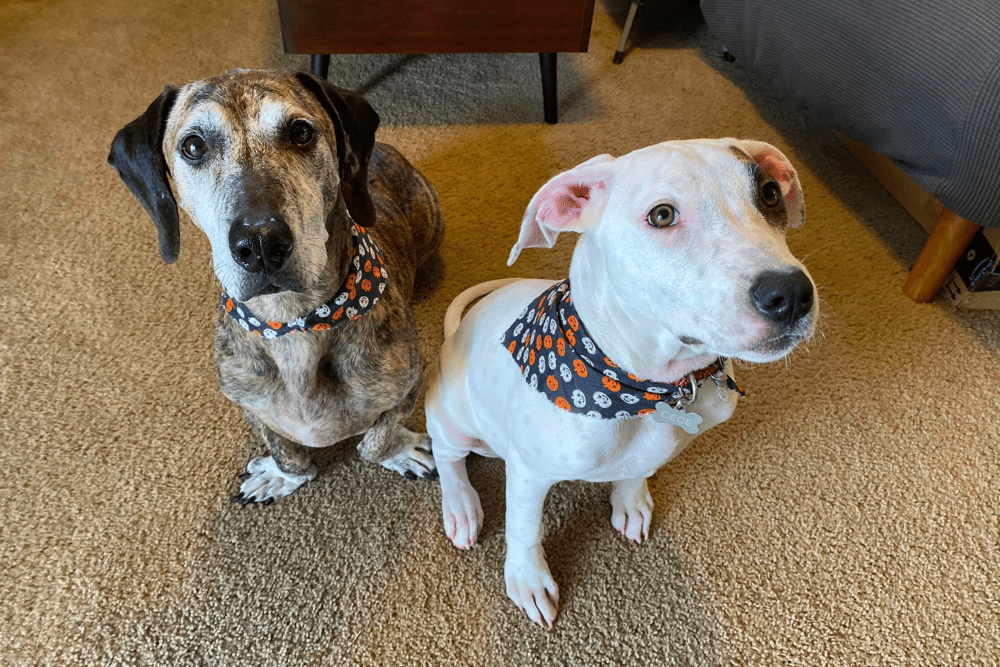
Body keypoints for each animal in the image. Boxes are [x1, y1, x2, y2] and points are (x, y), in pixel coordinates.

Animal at [106, 70, 446, 504]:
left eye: (301, 132)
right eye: (194, 146)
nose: (260, 244)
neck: (294, 322)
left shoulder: (407, 386)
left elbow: (375, 441)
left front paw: (399, 450)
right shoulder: (249, 403)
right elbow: (285, 449)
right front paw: (283, 475)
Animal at [426, 138, 816, 628]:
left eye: (769, 193)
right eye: (662, 215)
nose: (792, 295)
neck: (644, 386)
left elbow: (638, 470)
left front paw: (631, 501)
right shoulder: (529, 473)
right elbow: (524, 528)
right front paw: (528, 579)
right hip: (451, 417)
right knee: (448, 458)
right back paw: (461, 505)